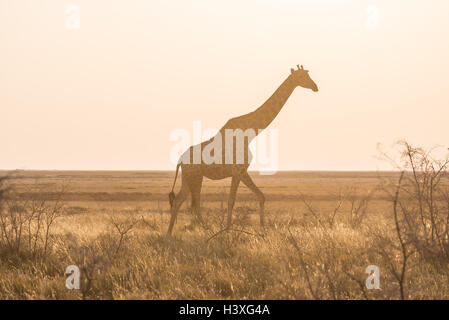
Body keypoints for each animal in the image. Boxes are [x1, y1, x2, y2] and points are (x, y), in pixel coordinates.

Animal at [166, 64, 316, 235]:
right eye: (302, 77)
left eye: (308, 74)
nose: (315, 87)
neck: (251, 133)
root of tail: (180, 160)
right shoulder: (239, 170)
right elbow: (236, 200)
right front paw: (230, 230)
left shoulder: (239, 171)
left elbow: (254, 197)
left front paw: (256, 228)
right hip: (195, 176)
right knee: (192, 203)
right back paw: (202, 231)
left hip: (189, 177)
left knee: (180, 201)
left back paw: (172, 234)